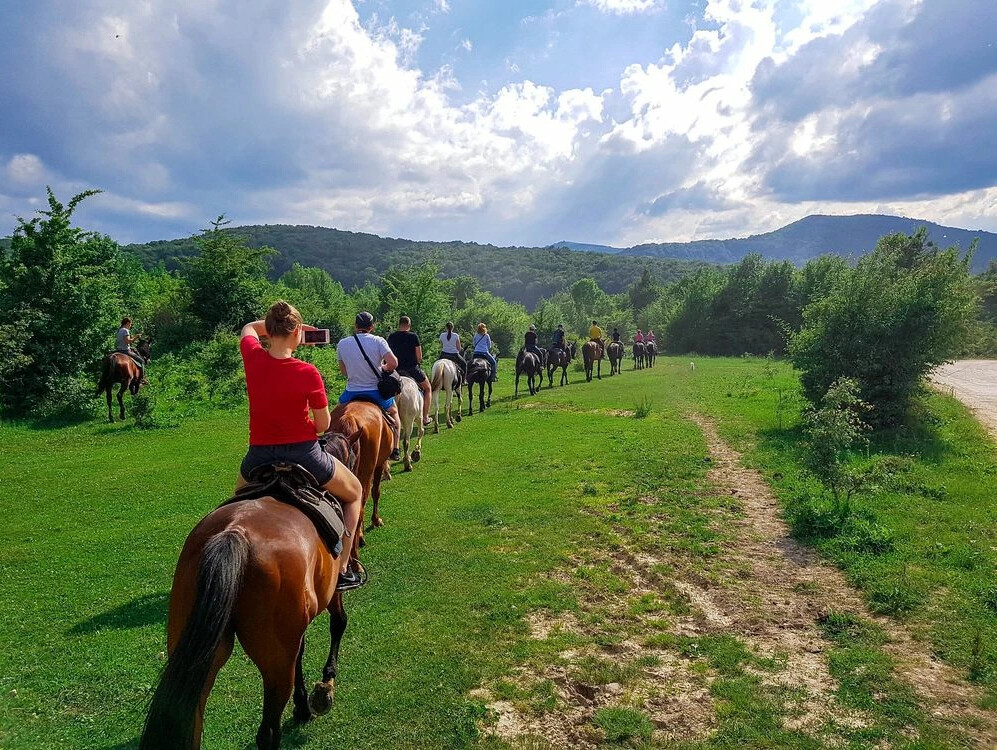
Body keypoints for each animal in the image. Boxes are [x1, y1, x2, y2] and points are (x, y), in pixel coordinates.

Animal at [138, 428, 360, 750]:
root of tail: (235, 533)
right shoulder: (332, 594)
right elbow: (339, 624)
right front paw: (324, 689)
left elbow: (302, 651)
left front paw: (303, 706)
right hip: (274, 664)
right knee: (268, 732)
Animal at [326, 402, 390, 556]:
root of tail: (348, 417)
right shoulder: (379, 464)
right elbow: (376, 492)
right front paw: (375, 520)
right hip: (365, 474)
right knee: (360, 509)